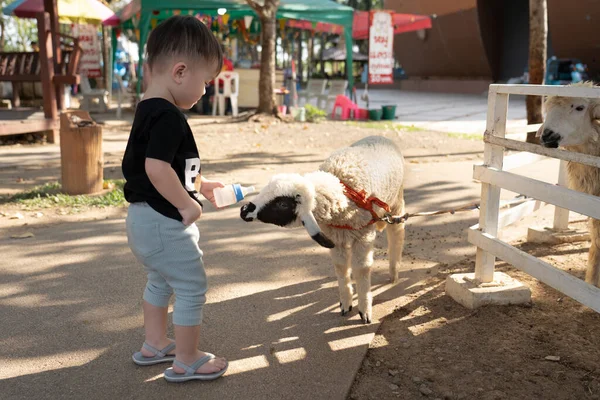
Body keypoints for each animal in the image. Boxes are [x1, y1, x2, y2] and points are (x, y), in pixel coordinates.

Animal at [241, 136, 406, 324]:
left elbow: (361, 269)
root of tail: (380, 136)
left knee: (397, 233)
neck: (343, 190)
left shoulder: (363, 235)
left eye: (282, 204)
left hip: (396, 202)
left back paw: (394, 272)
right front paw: (346, 304)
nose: (244, 210)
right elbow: (341, 267)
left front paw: (365, 310)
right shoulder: (335, 237)